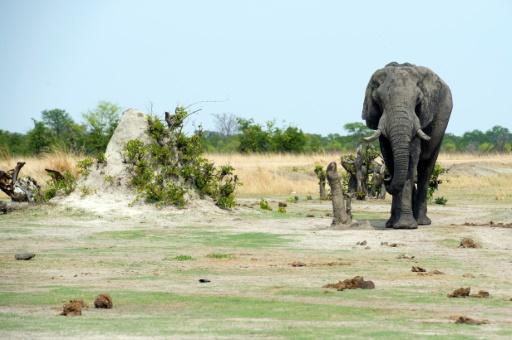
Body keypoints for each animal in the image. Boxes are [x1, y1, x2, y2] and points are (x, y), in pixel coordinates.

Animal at [360, 62, 452, 230]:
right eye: (378, 99)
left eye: (418, 99)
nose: (386, 179)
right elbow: (389, 157)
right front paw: (393, 224)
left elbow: (412, 156)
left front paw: (405, 226)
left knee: (426, 169)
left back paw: (422, 222)